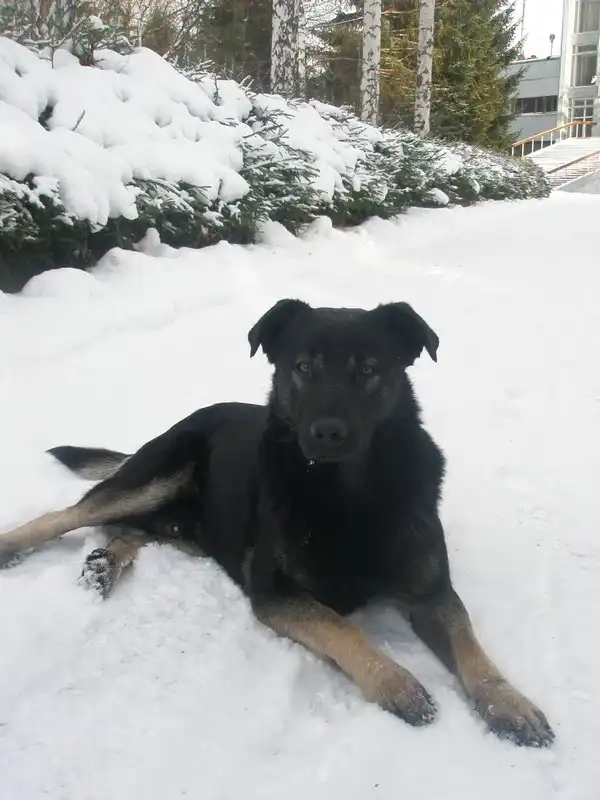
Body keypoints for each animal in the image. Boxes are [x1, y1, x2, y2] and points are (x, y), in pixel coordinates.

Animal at [0, 298, 554, 747]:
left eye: (369, 369)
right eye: (303, 367)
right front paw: (394, 682)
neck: (347, 493)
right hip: (157, 474)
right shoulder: (272, 592)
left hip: (187, 529)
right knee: (71, 513)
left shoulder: (433, 594)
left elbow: (472, 649)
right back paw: (18, 547)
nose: (327, 433)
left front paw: (510, 703)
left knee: (132, 531)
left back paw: (101, 565)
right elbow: (341, 628)